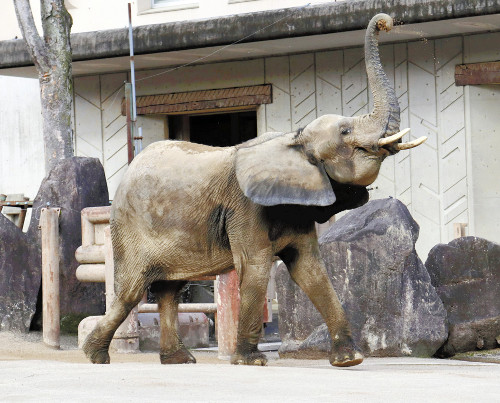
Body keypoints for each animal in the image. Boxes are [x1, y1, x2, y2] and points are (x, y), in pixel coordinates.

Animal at [83, 12, 426, 368]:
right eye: (346, 132)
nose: (386, 22)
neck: (294, 139)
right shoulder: (246, 208)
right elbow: (257, 267)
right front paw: (252, 361)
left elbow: (311, 271)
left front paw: (349, 360)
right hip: (130, 227)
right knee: (131, 291)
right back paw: (96, 356)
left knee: (169, 290)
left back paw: (179, 360)